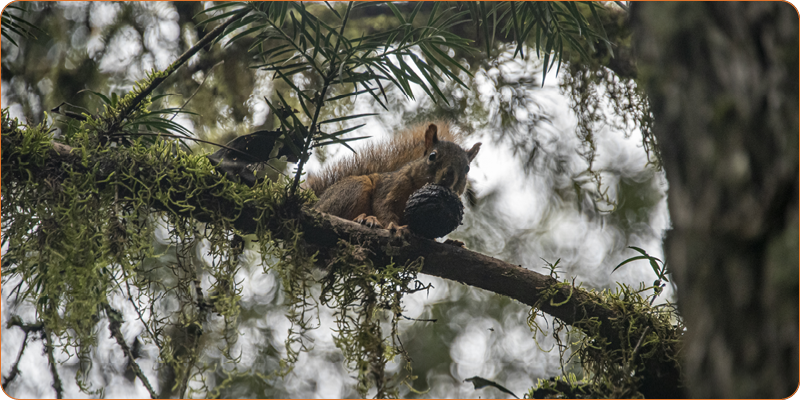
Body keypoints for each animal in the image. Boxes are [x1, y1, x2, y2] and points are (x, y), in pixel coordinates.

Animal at [308, 122, 482, 231]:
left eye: (467, 168)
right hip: (353, 188)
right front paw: (396, 227)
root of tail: (316, 203)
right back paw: (365, 218)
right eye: (432, 156)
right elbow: (383, 207)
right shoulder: (390, 187)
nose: (449, 177)